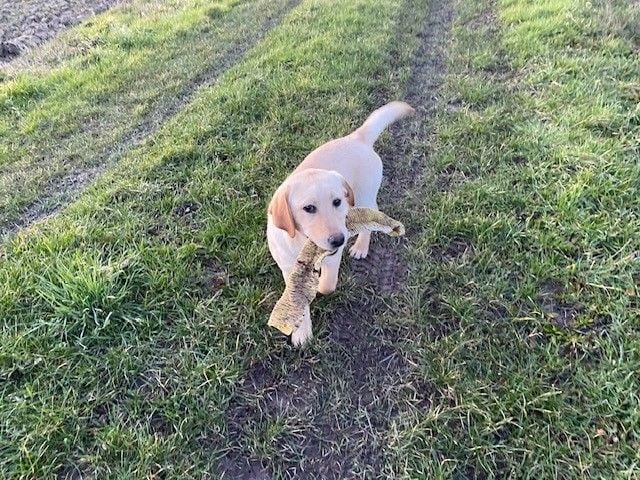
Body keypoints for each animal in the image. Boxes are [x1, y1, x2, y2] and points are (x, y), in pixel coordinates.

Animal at [266, 101, 412, 344]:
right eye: (309, 208)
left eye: (336, 201)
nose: (338, 240)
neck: (303, 244)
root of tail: (357, 137)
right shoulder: (288, 266)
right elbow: (298, 298)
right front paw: (302, 332)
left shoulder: (333, 258)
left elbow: (327, 285)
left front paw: (319, 287)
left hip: (363, 196)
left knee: (370, 219)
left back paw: (361, 246)